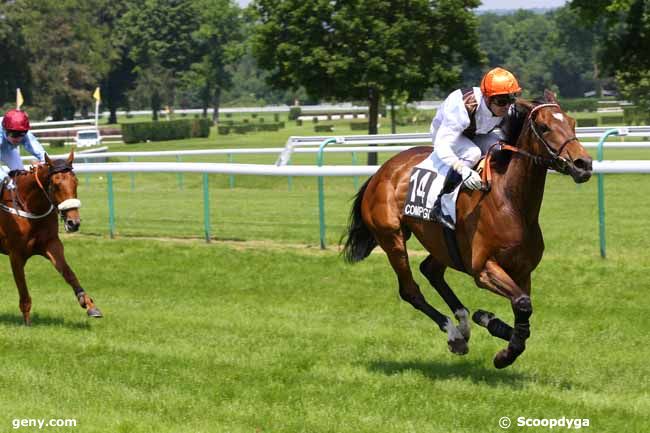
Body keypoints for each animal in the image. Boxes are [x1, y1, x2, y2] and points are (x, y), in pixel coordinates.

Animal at [0, 152, 101, 324]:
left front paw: (89, 304)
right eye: (55, 184)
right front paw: (27, 324)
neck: (29, 207)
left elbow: (69, 273)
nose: (73, 222)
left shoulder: (51, 244)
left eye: (76, 182)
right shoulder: (15, 253)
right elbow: (23, 291)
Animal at [344, 91, 592, 368]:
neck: (512, 202)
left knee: (430, 270)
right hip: (392, 237)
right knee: (410, 290)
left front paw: (491, 323)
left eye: (572, 123)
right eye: (544, 126)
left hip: (442, 244)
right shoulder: (483, 268)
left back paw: (463, 322)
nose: (583, 164)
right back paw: (454, 334)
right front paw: (500, 344)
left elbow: (523, 310)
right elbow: (522, 304)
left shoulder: (522, 271)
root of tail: (381, 172)